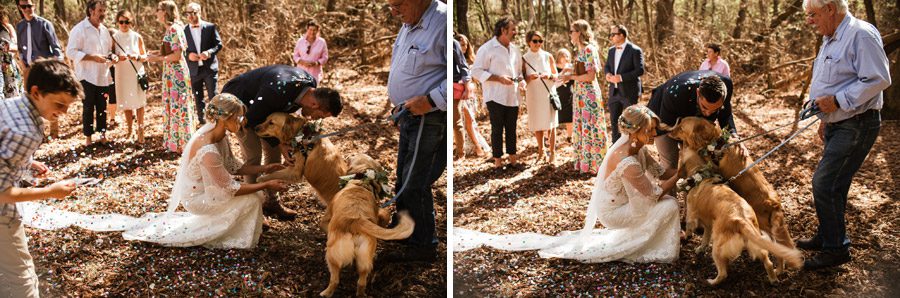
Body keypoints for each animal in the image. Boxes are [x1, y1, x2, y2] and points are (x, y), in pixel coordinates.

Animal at [318, 155, 414, 296]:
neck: (362, 181)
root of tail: (356, 221)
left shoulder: (325, 220)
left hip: (331, 257)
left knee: (335, 280)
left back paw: (325, 293)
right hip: (365, 260)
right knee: (361, 282)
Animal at [668, 117, 796, 274]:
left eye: (681, 128)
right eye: (679, 123)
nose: (668, 131)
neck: (715, 142)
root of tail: (774, 203)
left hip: (763, 225)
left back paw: (777, 270)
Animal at [680, 148, 800, 286]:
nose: (680, 144)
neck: (701, 176)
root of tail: (741, 220)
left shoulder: (691, 215)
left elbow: (689, 227)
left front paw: (686, 236)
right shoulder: (709, 226)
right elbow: (705, 238)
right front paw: (700, 248)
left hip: (717, 248)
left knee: (723, 273)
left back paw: (711, 282)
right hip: (756, 241)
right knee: (768, 260)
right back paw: (773, 278)